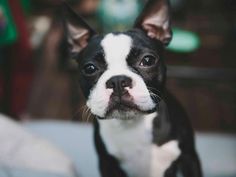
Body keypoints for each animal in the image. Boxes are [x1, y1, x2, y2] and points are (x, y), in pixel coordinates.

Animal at [63, 0, 202, 176]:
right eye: (90, 68)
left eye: (148, 60)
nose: (117, 81)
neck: (132, 124)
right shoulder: (107, 164)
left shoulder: (189, 157)